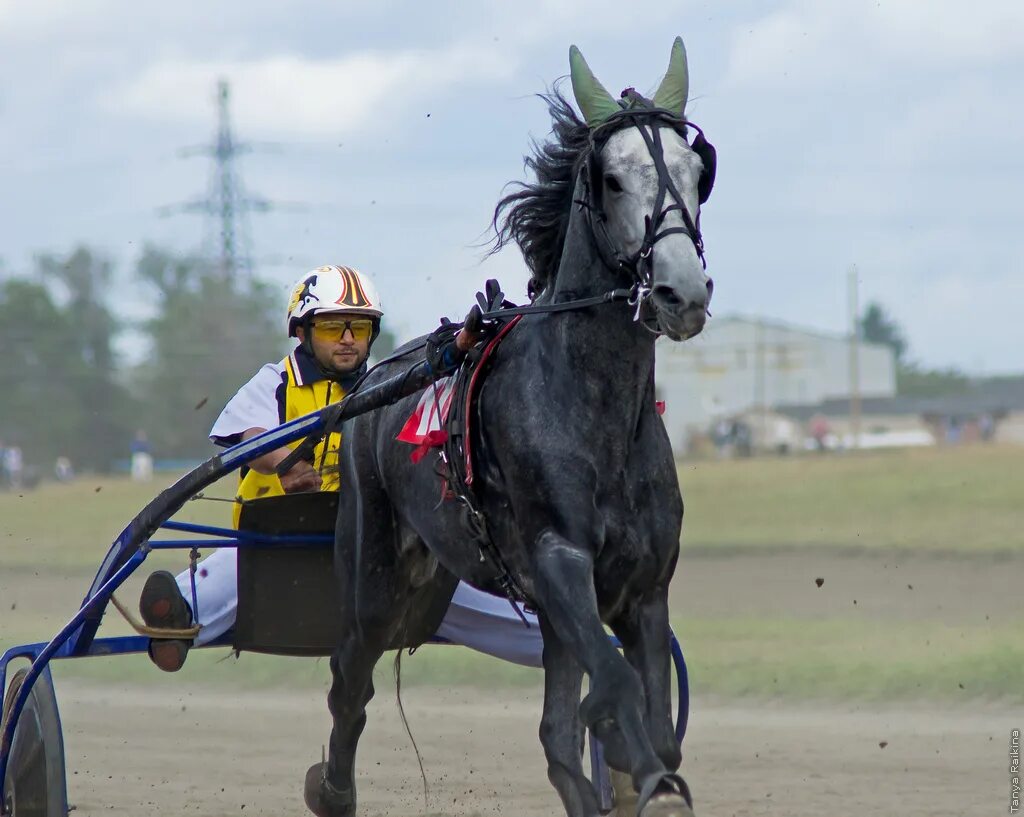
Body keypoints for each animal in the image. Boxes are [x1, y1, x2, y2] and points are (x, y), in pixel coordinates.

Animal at [307, 36, 716, 817]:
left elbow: (635, 716)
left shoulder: (643, 586)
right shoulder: (559, 560)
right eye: (612, 180)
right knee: (350, 680)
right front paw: (644, 775)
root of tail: (373, 380)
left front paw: (643, 773)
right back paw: (332, 787)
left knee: (553, 733)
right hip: (374, 576)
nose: (682, 291)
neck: (592, 411)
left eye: (693, 172)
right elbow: (614, 688)